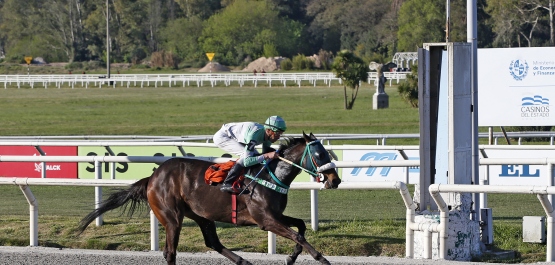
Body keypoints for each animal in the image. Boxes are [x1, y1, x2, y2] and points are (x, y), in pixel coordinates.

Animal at [77, 132, 338, 264]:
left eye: (328, 152)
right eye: (318, 154)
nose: (335, 180)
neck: (271, 176)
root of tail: (152, 177)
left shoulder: (275, 215)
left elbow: (301, 226)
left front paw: (292, 257)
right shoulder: (265, 220)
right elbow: (297, 234)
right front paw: (321, 258)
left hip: (201, 215)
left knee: (213, 242)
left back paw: (244, 262)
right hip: (172, 217)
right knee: (170, 252)